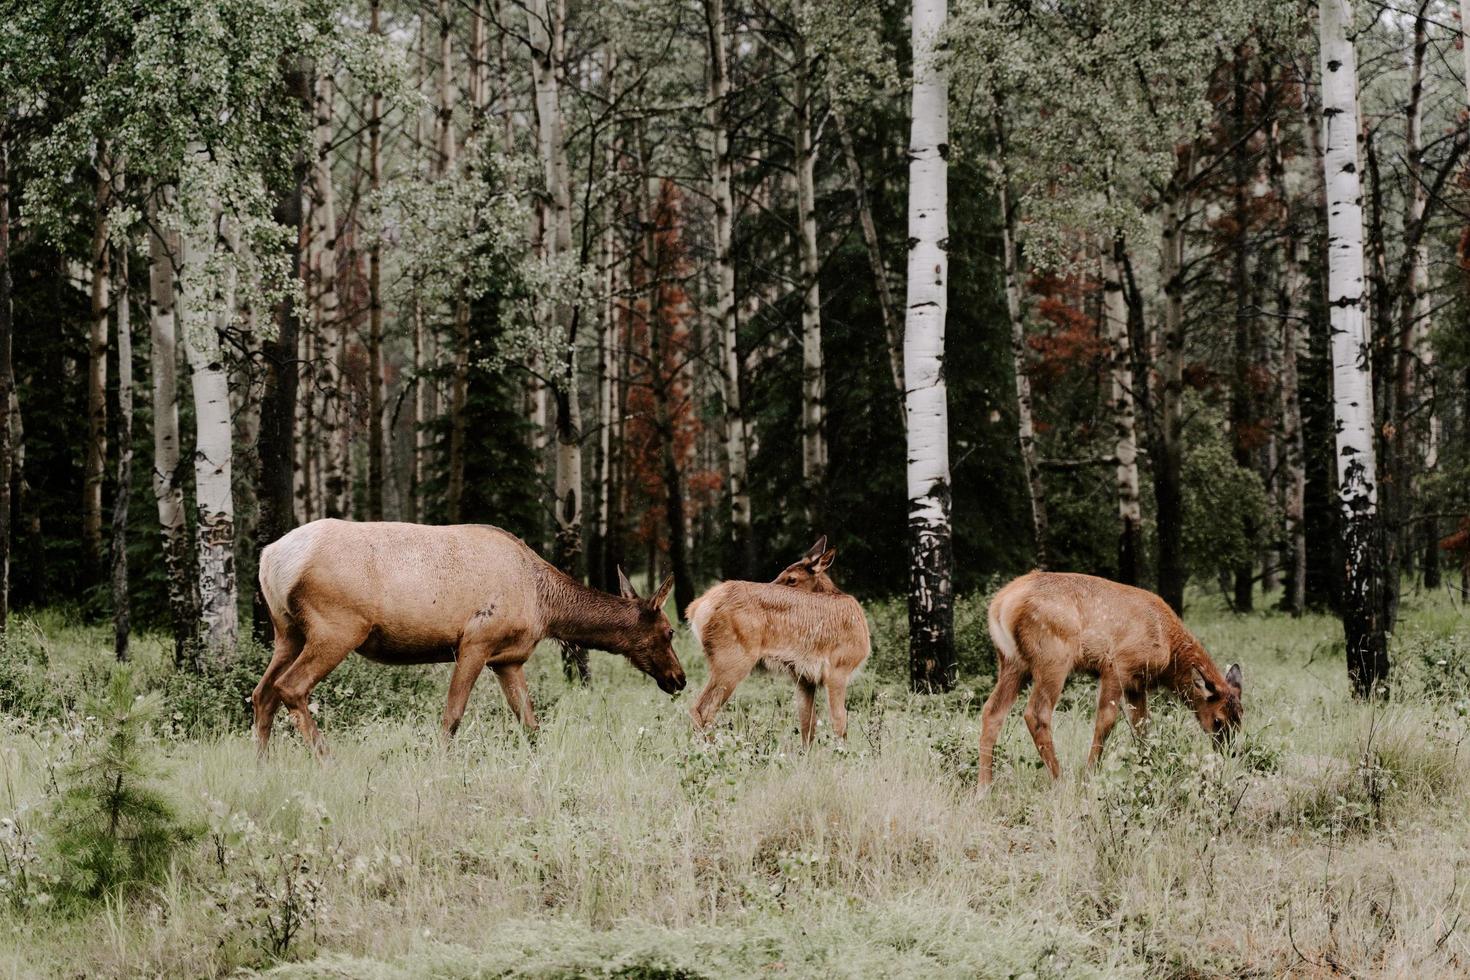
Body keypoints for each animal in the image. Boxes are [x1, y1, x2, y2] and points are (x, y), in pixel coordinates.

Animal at [254, 520, 687, 758]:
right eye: (669, 632)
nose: (679, 679)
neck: (544, 607)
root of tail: (270, 558)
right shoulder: (475, 642)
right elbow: (452, 717)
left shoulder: (508, 659)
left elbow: (530, 724)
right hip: (337, 627)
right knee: (290, 687)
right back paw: (326, 756)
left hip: (286, 631)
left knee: (262, 693)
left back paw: (263, 763)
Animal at [685, 537, 864, 743]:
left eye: (792, 578)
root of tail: (697, 608)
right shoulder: (839, 667)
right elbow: (839, 723)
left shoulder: (804, 678)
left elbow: (807, 726)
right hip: (732, 659)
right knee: (702, 709)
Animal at [976, 570, 1240, 787]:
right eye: (1218, 720)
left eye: (1240, 717)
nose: (1230, 753)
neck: (1168, 649)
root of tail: (1000, 605)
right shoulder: (1118, 665)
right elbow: (1106, 720)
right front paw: (1090, 774)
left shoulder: (1137, 684)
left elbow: (1141, 726)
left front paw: (1147, 766)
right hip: (1053, 656)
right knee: (1036, 713)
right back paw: (1060, 781)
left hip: (1012, 662)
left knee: (992, 710)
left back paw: (984, 788)